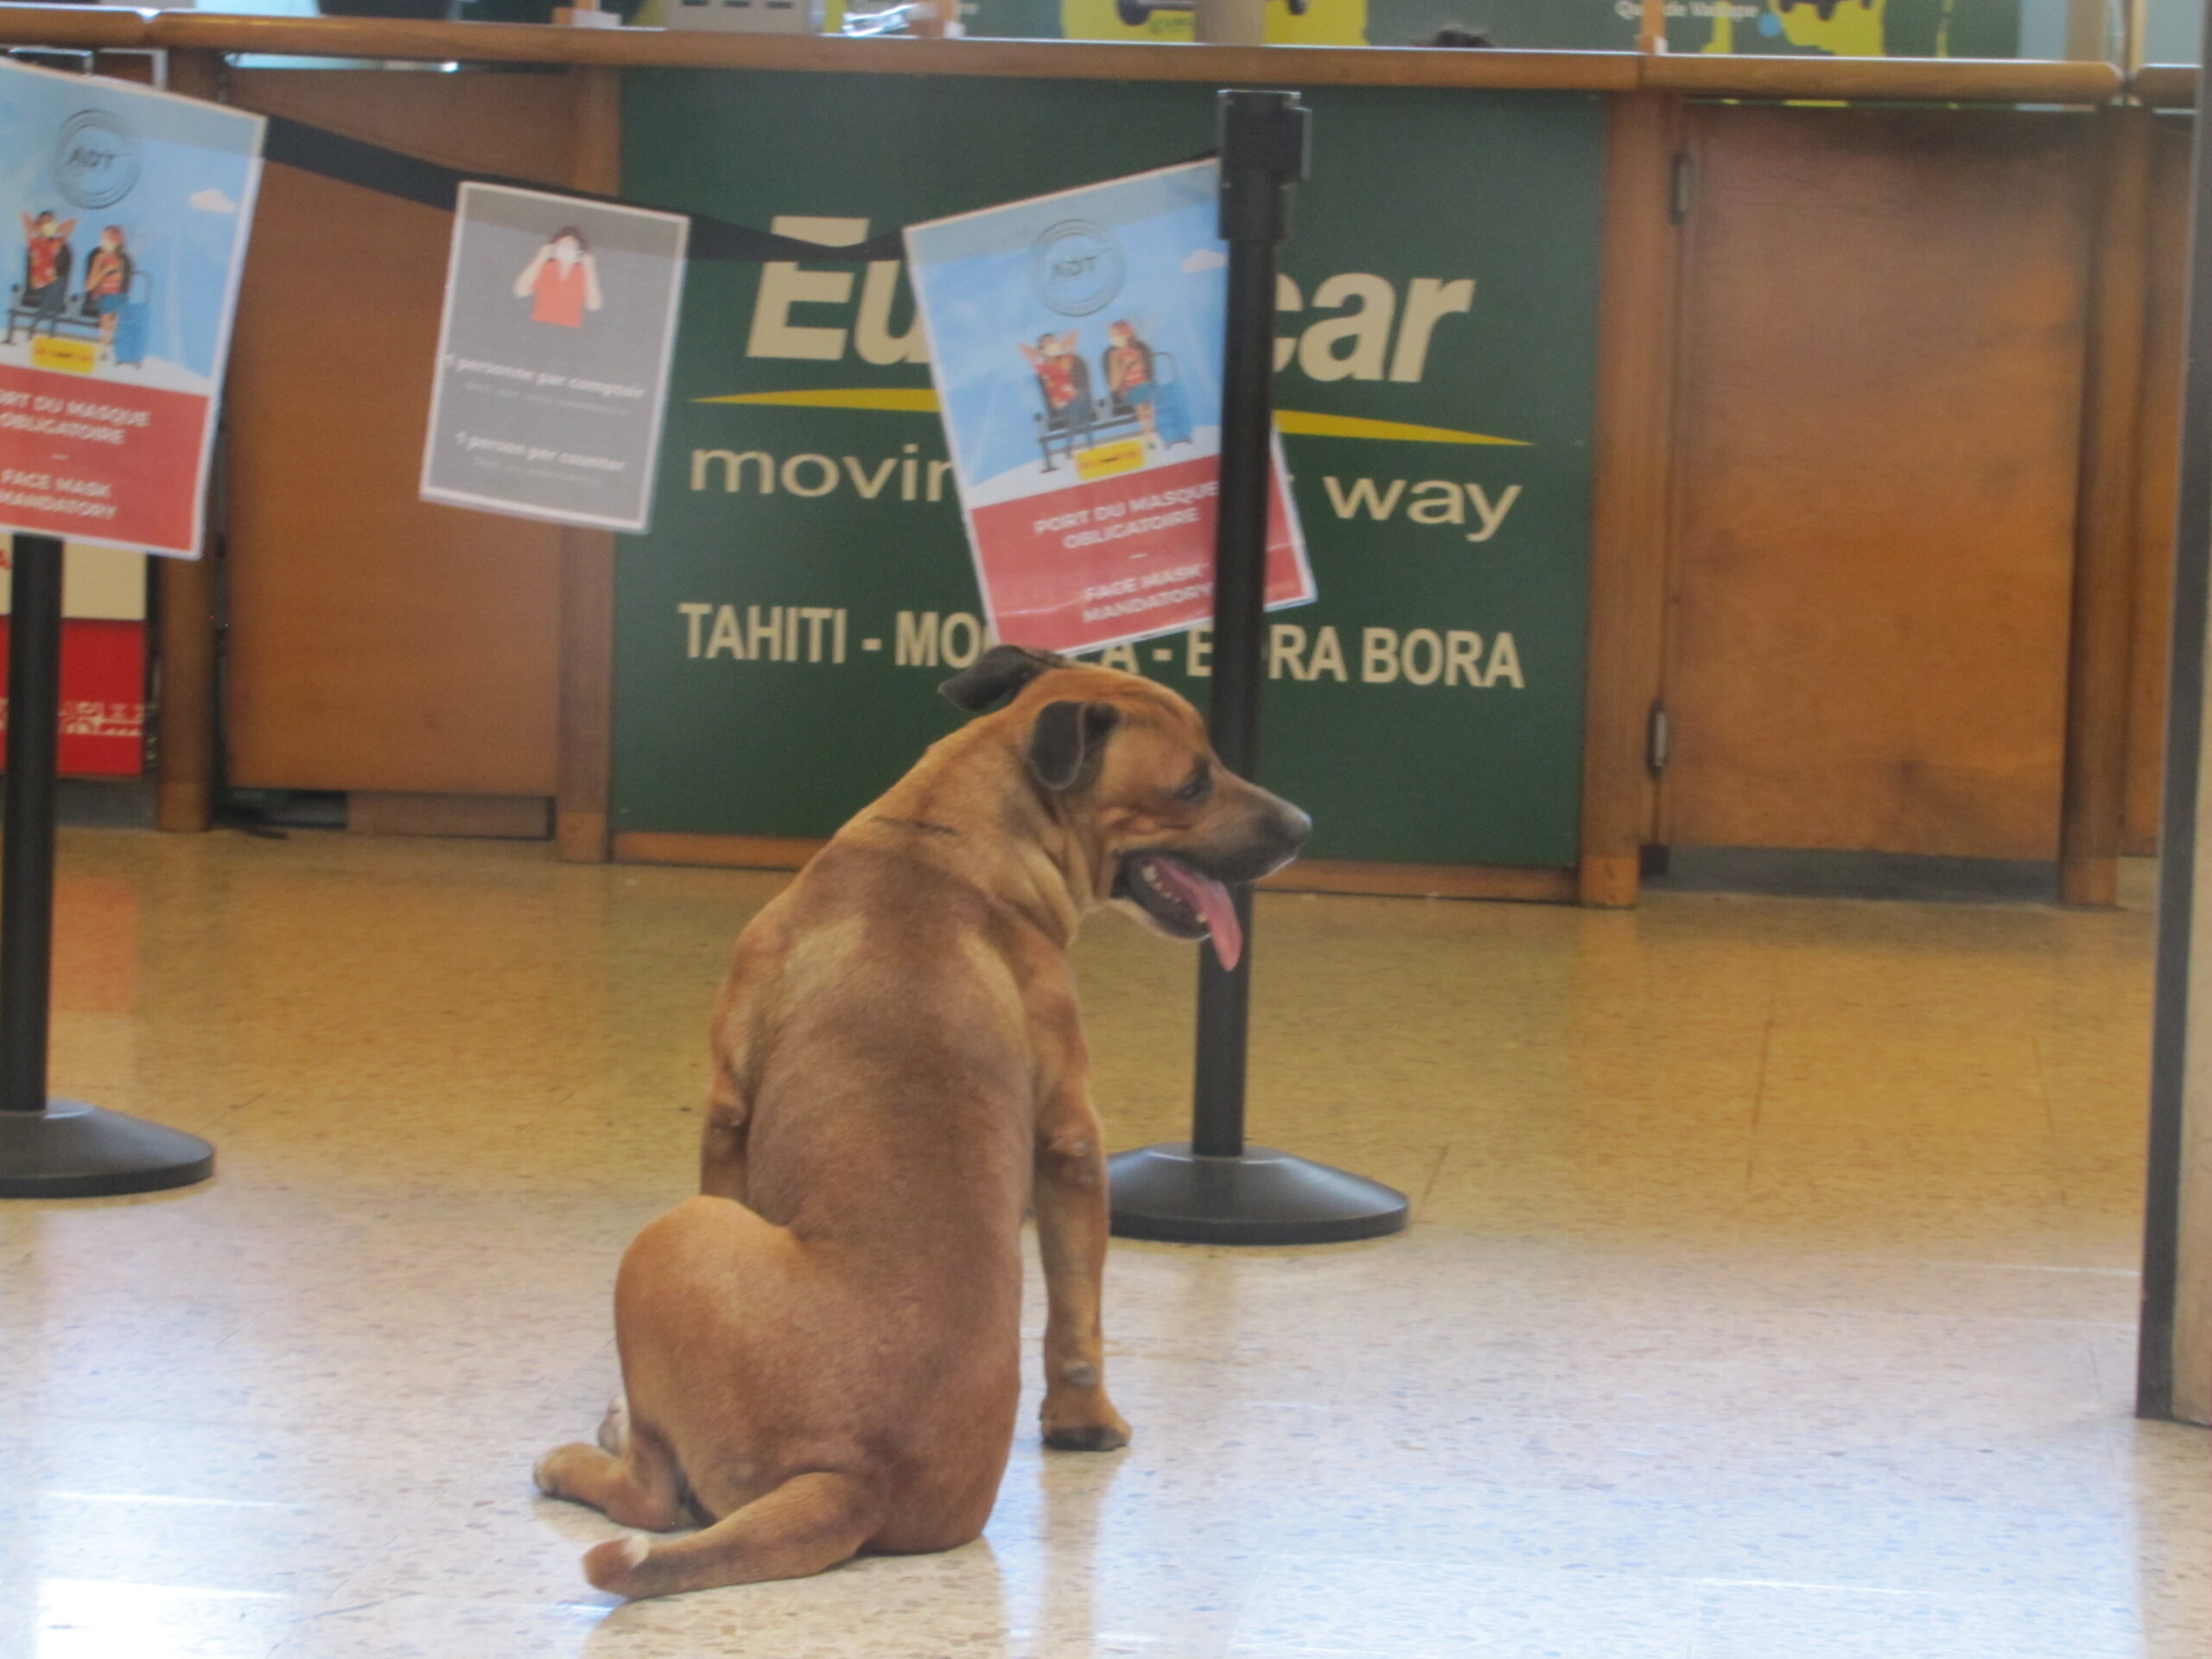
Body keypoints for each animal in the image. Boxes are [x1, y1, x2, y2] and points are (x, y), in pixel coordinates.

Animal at [531, 645, 1309, 1601]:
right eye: (1195, 781)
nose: (1304, 825)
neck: (938, 841)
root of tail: (853, 1479)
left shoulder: (733, 1110)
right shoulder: (1068, 1137)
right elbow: (1078, 1305)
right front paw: (1084, 1421)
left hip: (675, 1234)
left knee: (654, 1494)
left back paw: (584, 1455)